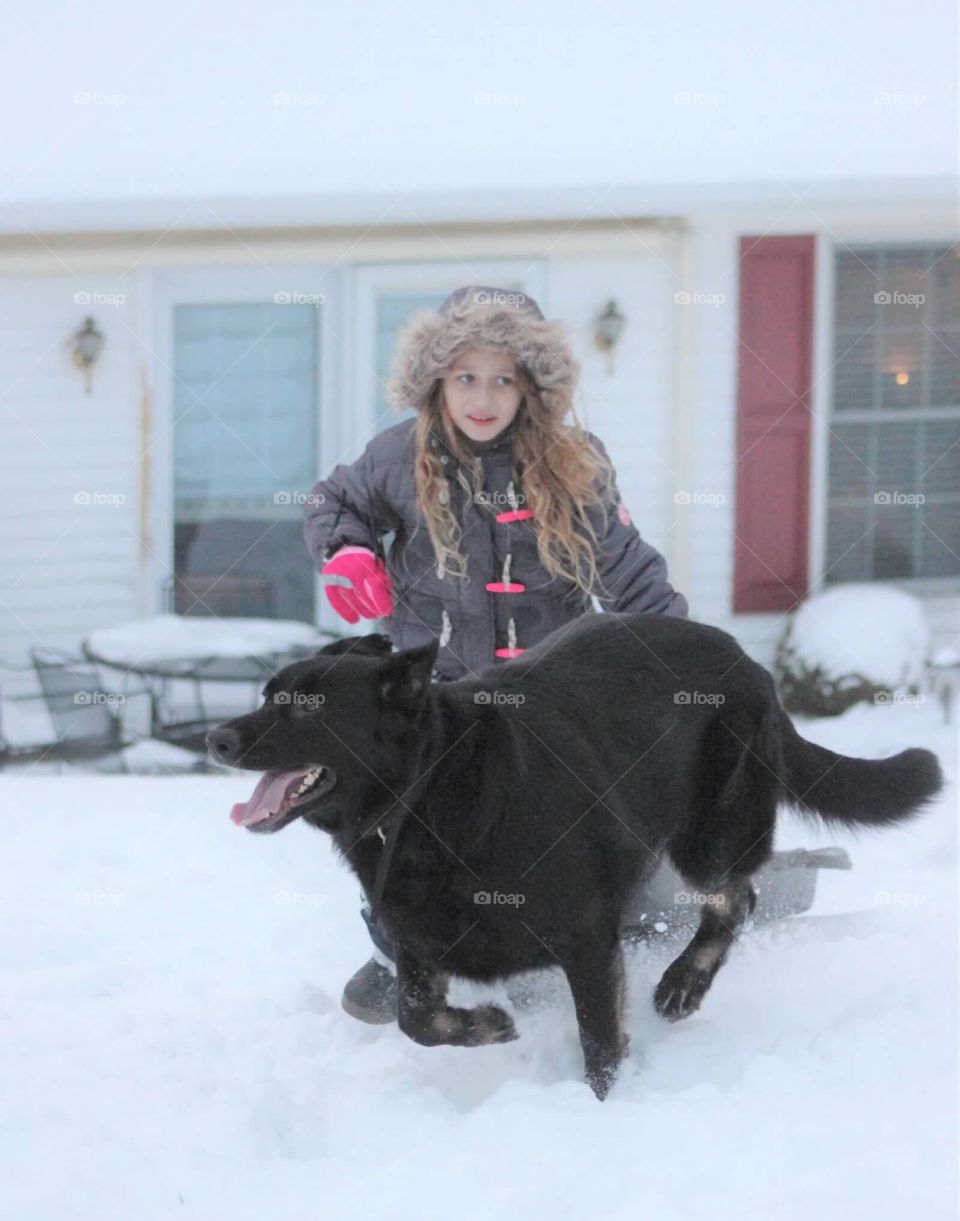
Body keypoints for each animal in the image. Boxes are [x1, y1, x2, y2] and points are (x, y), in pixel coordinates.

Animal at [205, 615, 938, 1103]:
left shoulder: (586, 941)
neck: (424, 791)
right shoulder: (419, 943)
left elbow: (601, 1045)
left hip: (707, 837)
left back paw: (683, 982)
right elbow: (417, 1019)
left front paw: (600, 1115)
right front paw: (490, 1025)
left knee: (739, 894)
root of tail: (747, 659)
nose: (215, 737)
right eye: (268, 694)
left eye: (306, 708)